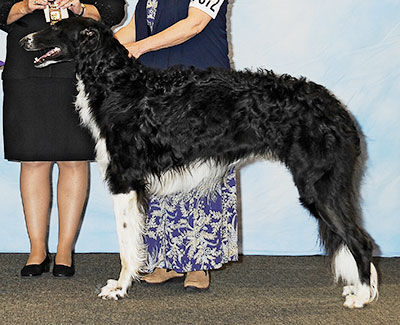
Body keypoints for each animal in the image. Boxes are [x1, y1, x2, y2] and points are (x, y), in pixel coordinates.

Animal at [21, 17, 378, 306]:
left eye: (56, 27)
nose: (24, 40)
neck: (119, 85)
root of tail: (336, 108)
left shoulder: (124, 179)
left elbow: (125, 244)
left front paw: (119, 288)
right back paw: (360, 289)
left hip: (318, 187)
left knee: (361, 241)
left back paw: (361, 297)